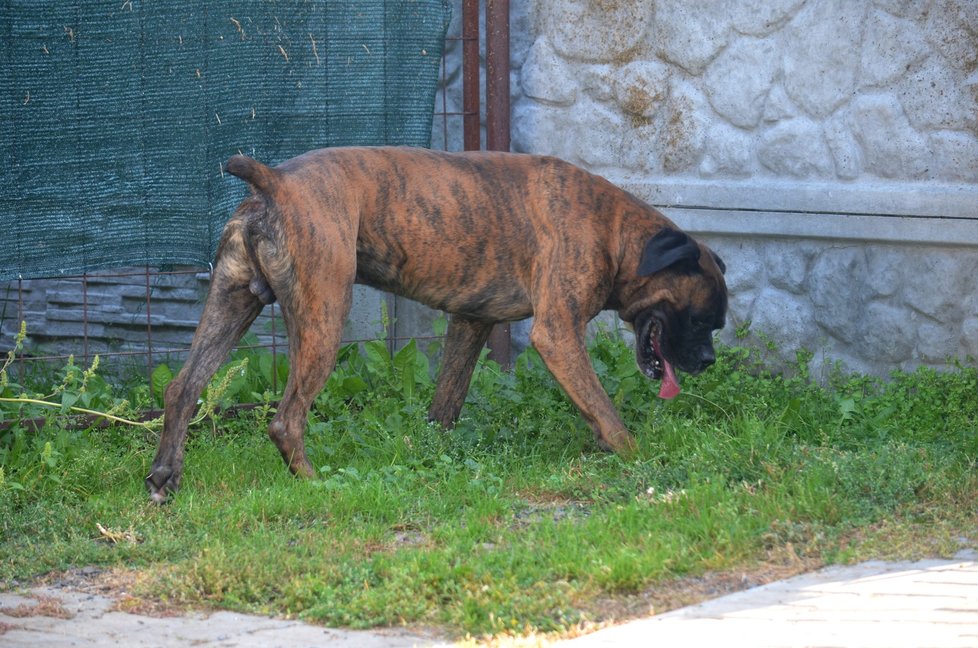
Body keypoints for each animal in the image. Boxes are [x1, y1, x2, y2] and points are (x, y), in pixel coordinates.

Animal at [145, 149, 724, 504]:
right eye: (702, 319)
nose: (708, 362)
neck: (613, 228)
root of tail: (276, 183)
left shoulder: (470, 323)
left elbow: (446, 403)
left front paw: (430, 457)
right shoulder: (557, 335)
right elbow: (603, 407)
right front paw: (638, 458)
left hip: (230, 303)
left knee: (183, 388)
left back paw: (165, 477)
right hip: (323, 319)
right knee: (286, 420)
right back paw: (316, 484)